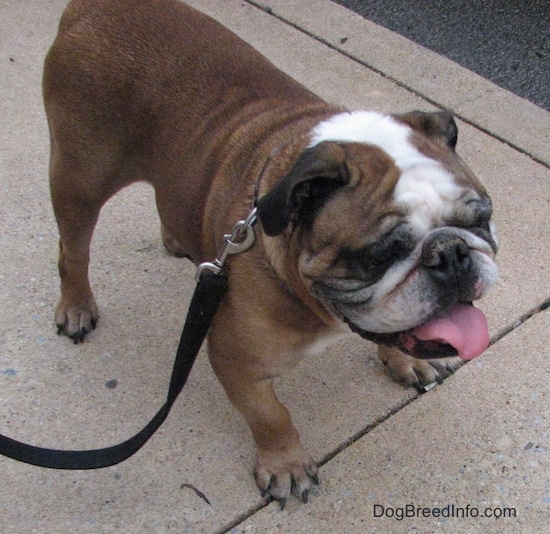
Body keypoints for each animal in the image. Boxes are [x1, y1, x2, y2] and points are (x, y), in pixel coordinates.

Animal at [44, 0, 500, 506]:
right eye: (381, 254)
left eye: (480, 220)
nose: (451, 253)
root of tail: (93, 8)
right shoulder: (239, 362)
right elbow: (271, 416)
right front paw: (286, 465)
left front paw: (407, 360)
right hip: (80, 176)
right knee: (73, 249)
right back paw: (77, 306)